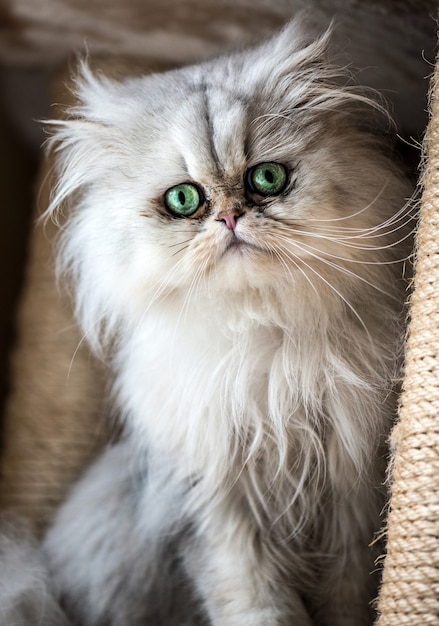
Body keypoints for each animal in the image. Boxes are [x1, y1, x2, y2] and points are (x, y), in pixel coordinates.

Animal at [32, 19, 414, 624]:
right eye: (185, 199)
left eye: (268, 178)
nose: (231, 217)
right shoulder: (214, 510)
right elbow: (257, 603)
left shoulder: (351, 495)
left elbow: (348, 598)